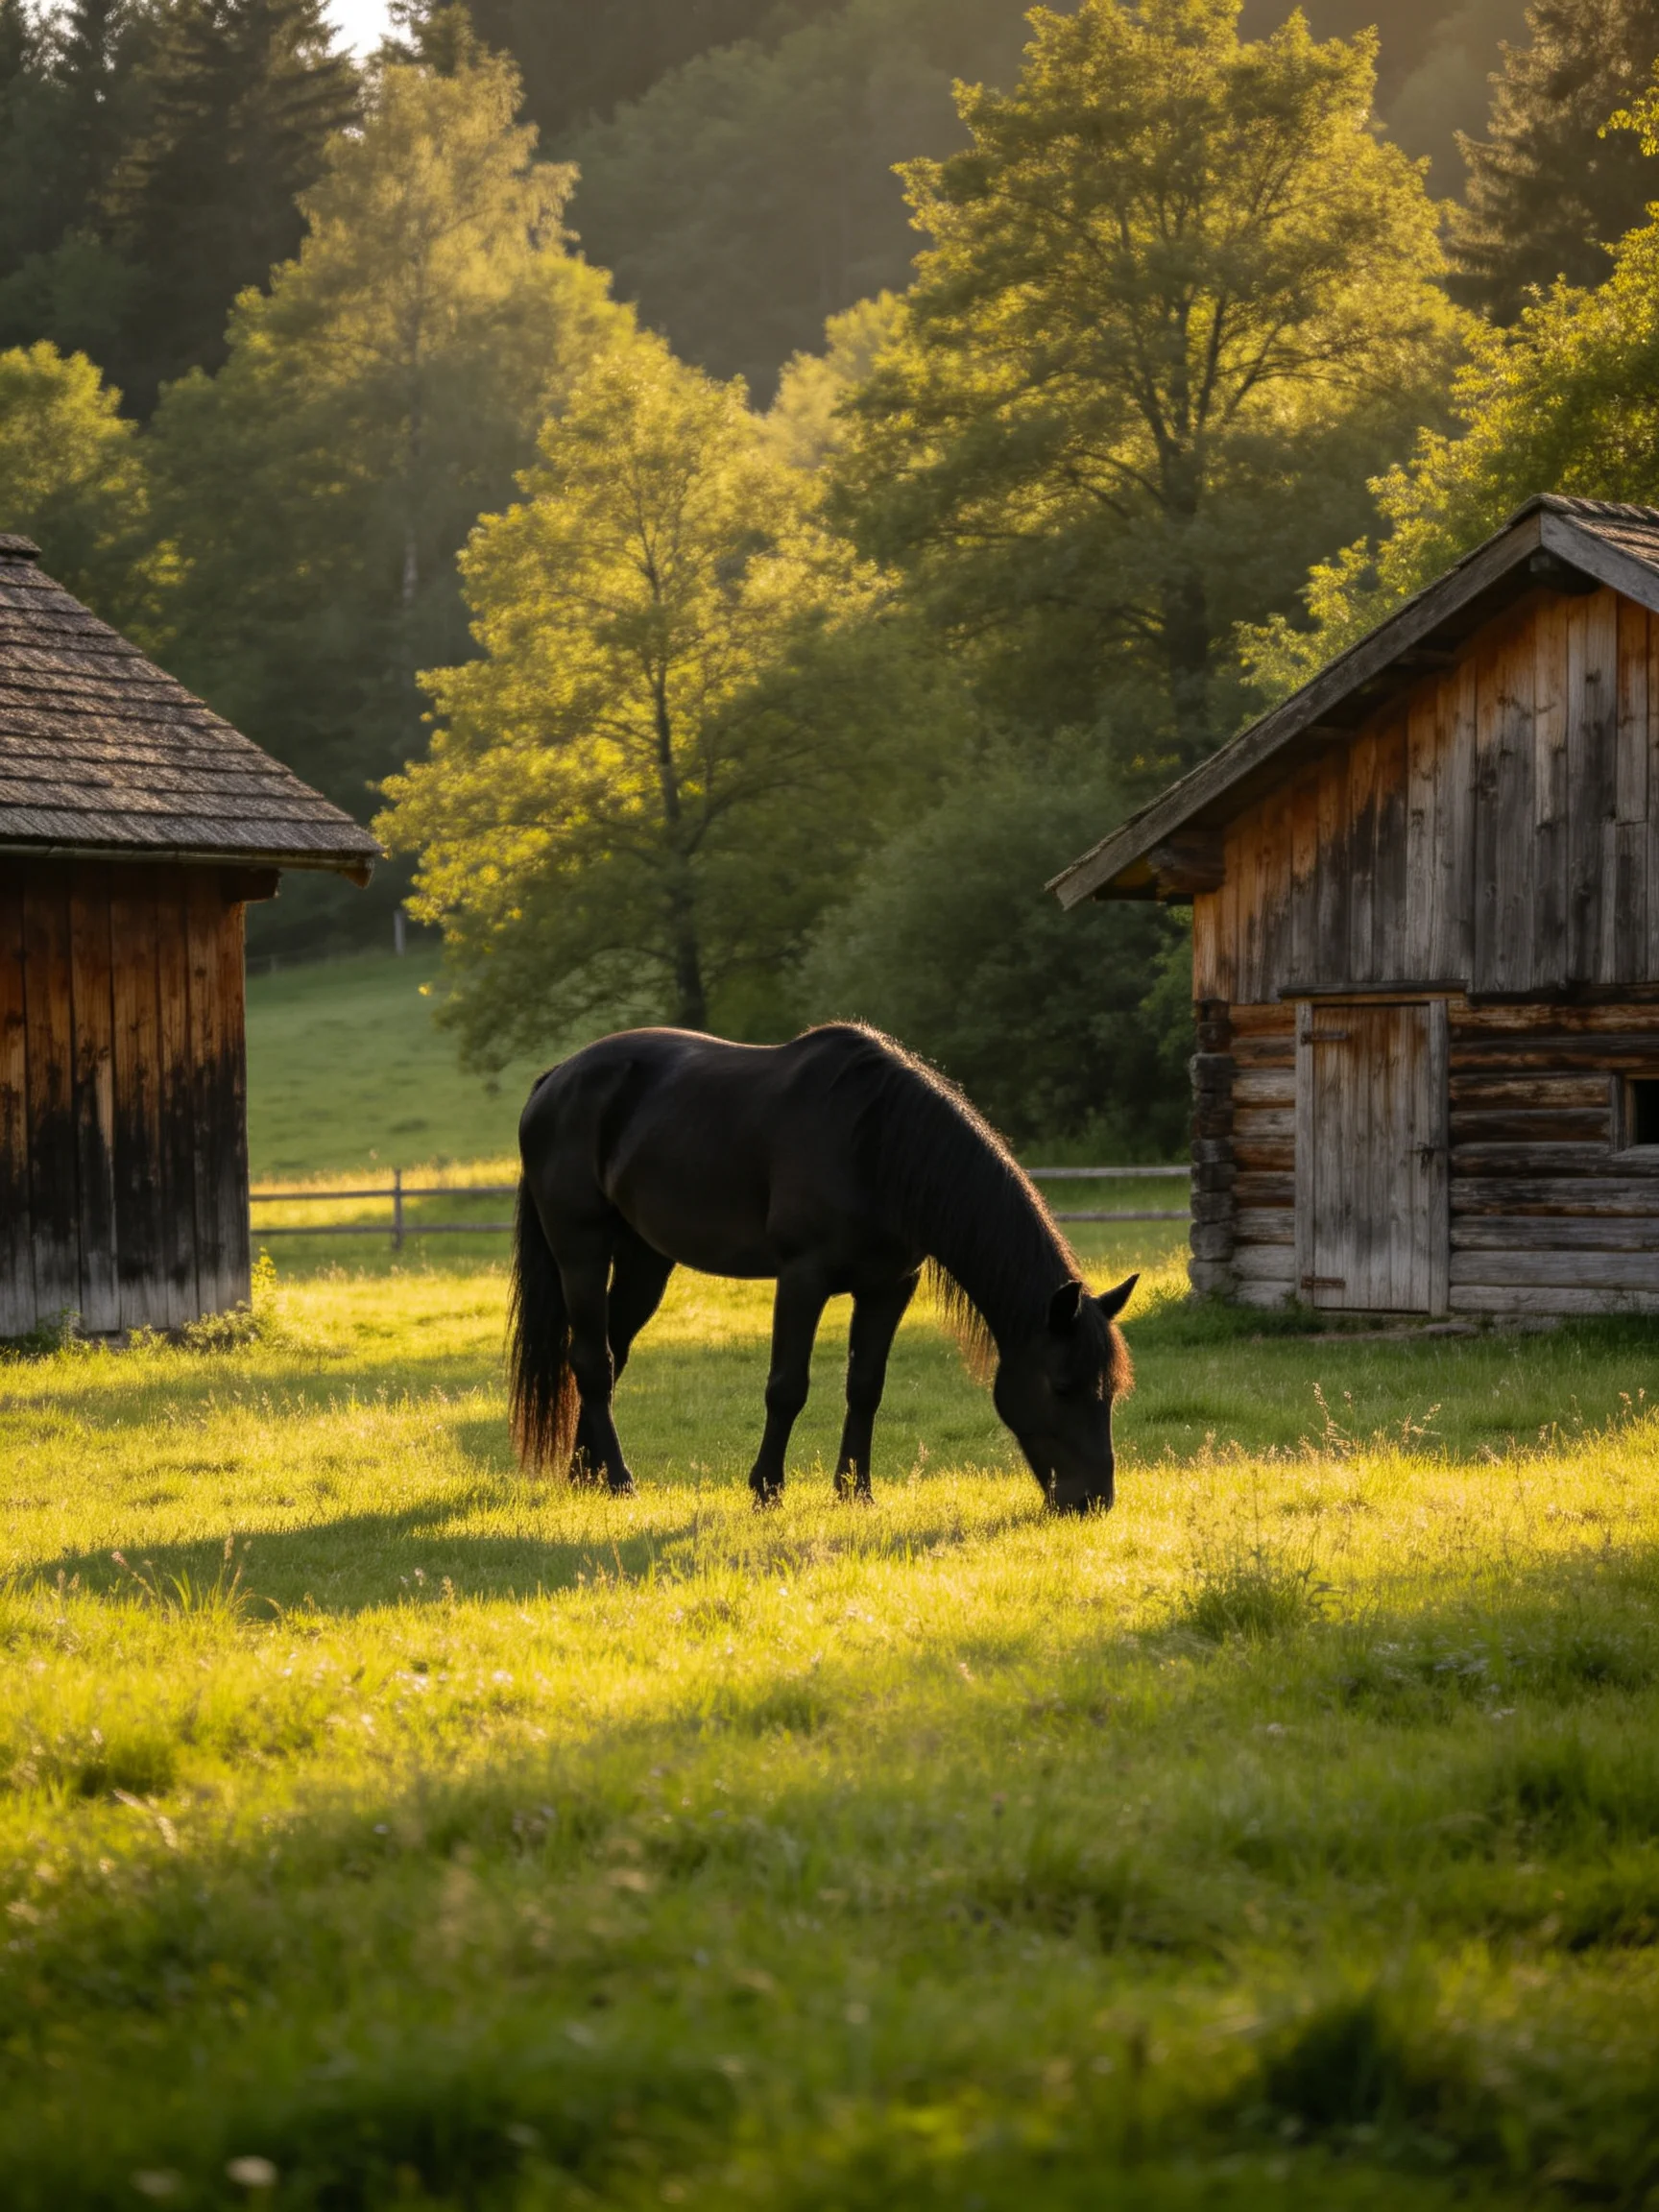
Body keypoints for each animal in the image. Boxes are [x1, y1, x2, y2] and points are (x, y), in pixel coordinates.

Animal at [508, 1022, 1138, 1512]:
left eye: (1111, 1390)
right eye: (1062, 1385)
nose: (1093, 1501)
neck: (875, 1145)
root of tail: (555, 1079)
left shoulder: (889, 1287)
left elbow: (866, 1387)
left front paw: (854, 1491)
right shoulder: (802, 1279)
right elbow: (788, 1387)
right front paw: (766, 1490)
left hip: (646, 1261)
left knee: (610, 1353)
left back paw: (584, 1475)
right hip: (581, 1251)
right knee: (591, 1360)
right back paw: (618, 1481)